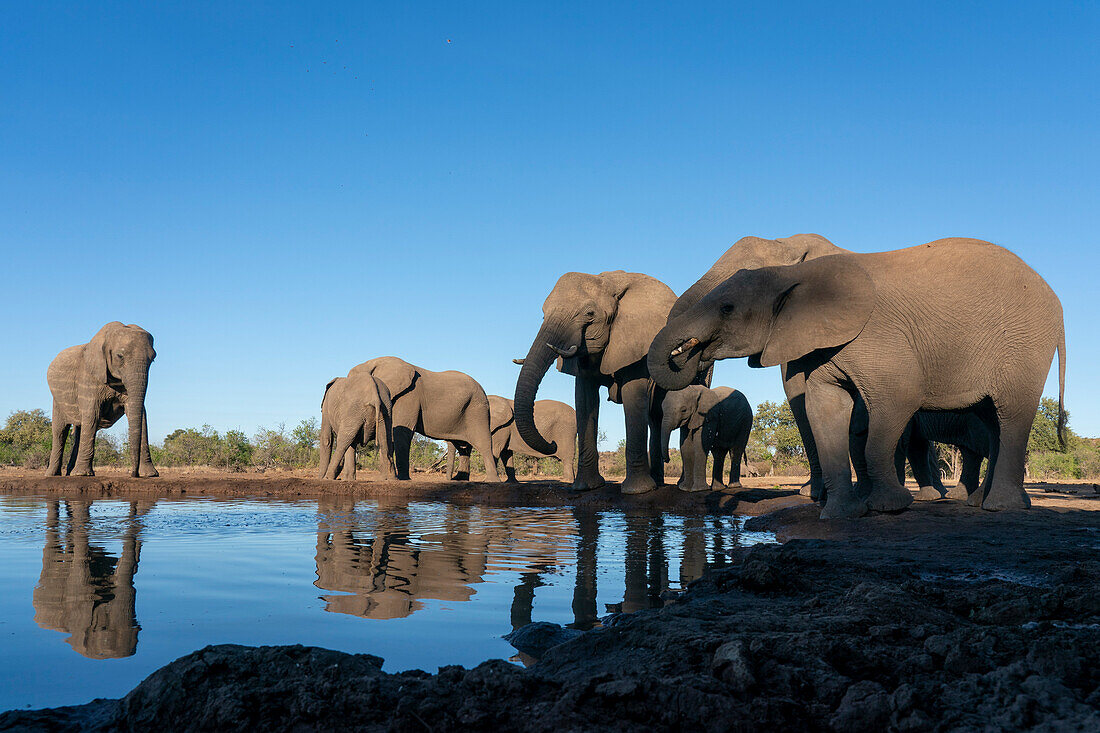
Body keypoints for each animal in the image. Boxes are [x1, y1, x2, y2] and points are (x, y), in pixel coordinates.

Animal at [45, 323, 159, 477]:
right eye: (120, 356)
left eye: (153, 359)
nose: (132, 474)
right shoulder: (88, 377)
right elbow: (92, 415)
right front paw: (82, 474)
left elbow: (140, 416)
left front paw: (150, 474)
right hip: (57, 399)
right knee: (60, 431)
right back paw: (53, 474)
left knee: (79, 431)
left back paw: (71, 472)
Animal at [345, 354, 501, 479]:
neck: (373, 362)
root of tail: (483, 391)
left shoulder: (409, 395)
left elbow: (401, 431)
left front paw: (403, 479)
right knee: (463, 447)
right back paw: (460, 480)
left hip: (477, 410)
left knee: (483, 443)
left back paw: (491, 481)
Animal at [444, 396, 580, 482]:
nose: (451, 479)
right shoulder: (506, 429)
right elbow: (506, 453)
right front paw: (511, 482)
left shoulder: (502, 427)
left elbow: (495, 450)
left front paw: (487, 480)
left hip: (566, 431)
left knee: (567, 457)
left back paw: (566, 480)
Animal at [514, 270, 677, 493]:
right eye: (543, 313)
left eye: (589, 314)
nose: (553, 443)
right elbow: (585, 400)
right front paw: (585, 487)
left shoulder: (634, 344)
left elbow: (633, 395)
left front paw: (637, 491)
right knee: (655, 417)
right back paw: (658, 482)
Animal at [651, 236, 1064, 517]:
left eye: (727, 307)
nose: (691, 356)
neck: (799, 272)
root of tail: (1057, 303)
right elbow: (824, 407)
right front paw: (840, 514)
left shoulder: (876, 336)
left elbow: (897, 397)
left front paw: (887, 507)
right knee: (992, 419)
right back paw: (984, 502)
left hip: (1024, 342)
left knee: (1011, 414)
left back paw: (1001, 507)